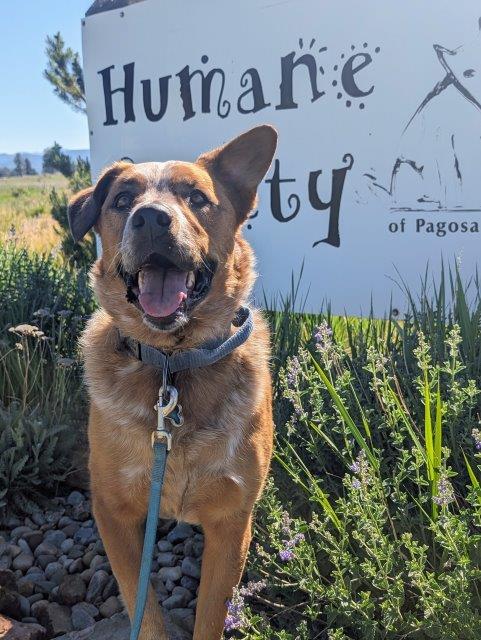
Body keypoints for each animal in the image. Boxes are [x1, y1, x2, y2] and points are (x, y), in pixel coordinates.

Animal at [68, 126, 278, 640]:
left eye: (197, 198)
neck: (172, 365)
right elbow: (144, 610)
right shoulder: (114, 514)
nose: (150, 219)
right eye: (122, 200)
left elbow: (211, 615)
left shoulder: (231, 523)